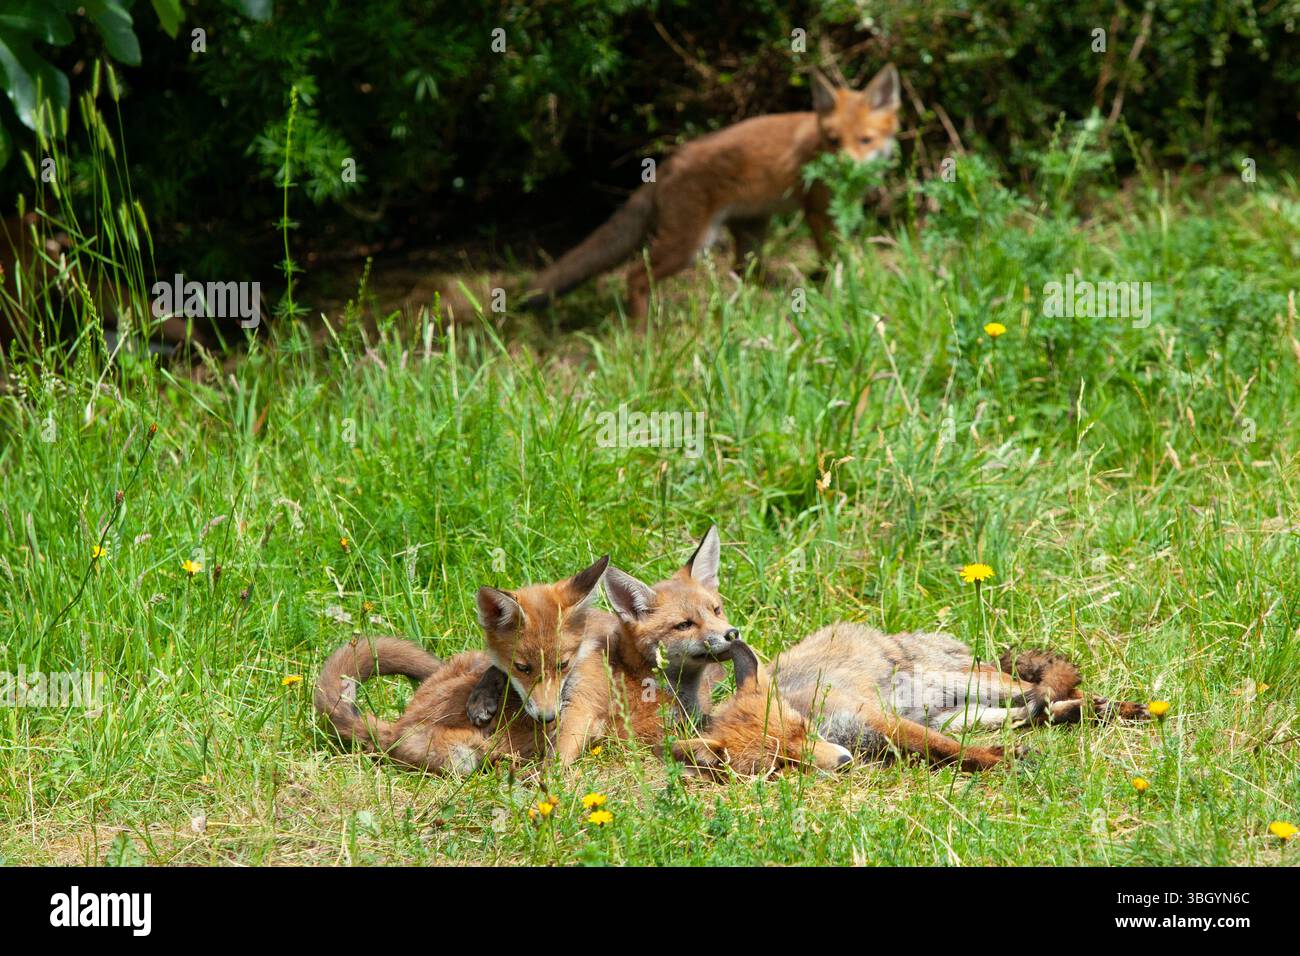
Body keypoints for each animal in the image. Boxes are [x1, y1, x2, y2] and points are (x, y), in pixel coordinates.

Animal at [312, 556, 611, 773]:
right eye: (522, 668)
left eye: (563, 664)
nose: (547, 717)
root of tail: (397, 727)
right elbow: (496, 670)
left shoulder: (581, 699)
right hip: (460, 757)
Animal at [520, 64, 902, 318]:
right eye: (834, 141)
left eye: (865, 140)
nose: (846, 168)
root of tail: (667, 164)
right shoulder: (818, 210)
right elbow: (835, 254)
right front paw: (839, 283)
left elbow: (838, 253)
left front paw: (830, 282)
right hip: (689, 245)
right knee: (635, 278)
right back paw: (644, 339)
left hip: (751, 228)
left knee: (745, 271)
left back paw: (788, 290)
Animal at [674, 623, 1151, 776]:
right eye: (784, 764)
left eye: (802, 731)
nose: (844, 763)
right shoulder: (882, 736)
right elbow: (950, 752)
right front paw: (1000, 757)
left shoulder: (875, 719)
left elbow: (950, 751)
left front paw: (1000, 761)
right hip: (961, 713)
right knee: (1037, 713)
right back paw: (1079, 714)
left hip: (966, 684)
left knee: (1053, 692)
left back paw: (1119, 708)